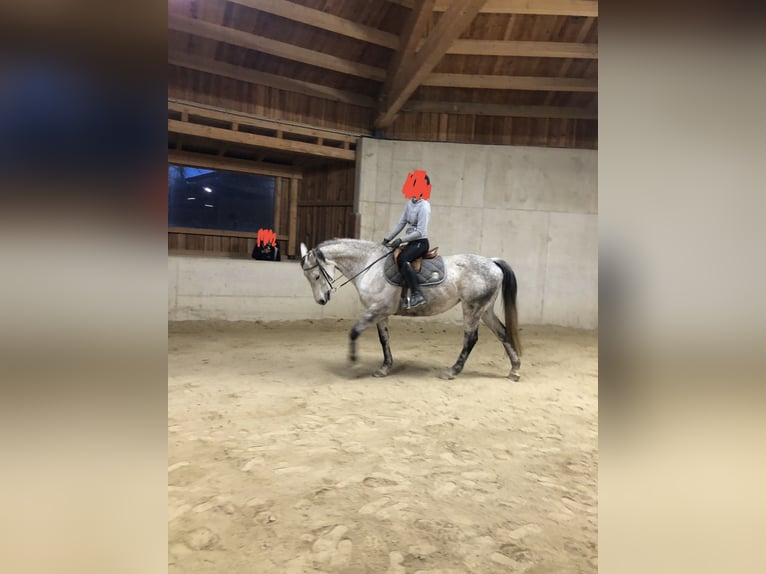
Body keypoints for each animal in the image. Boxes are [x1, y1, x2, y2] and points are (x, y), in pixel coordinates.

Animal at [300, 240, 520, 382]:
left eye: (316, 276)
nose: (321, 300)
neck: (369, 265)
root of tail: (492, 262)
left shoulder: (377, 309)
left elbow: (354, 332)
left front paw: (353, 364)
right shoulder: (381, 313)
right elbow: (384, 339)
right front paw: (384, 368)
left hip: (472, 308)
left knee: (471, 338)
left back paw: (452, 372)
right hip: (485, 310)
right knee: (502, 332)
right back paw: (515, 370)